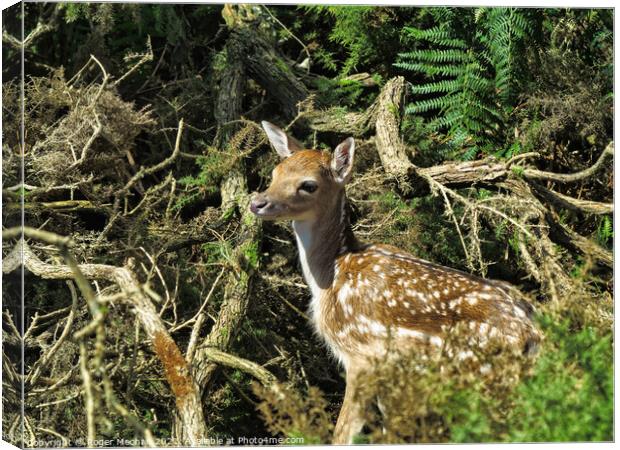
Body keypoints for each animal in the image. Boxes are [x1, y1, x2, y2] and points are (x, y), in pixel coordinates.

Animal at [249, 121, 540, 444]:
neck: (332, 274)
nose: (257, 202)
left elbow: (344, 433)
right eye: (276, 173)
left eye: (309, 185)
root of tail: (533, 336)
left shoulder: (361, 355)